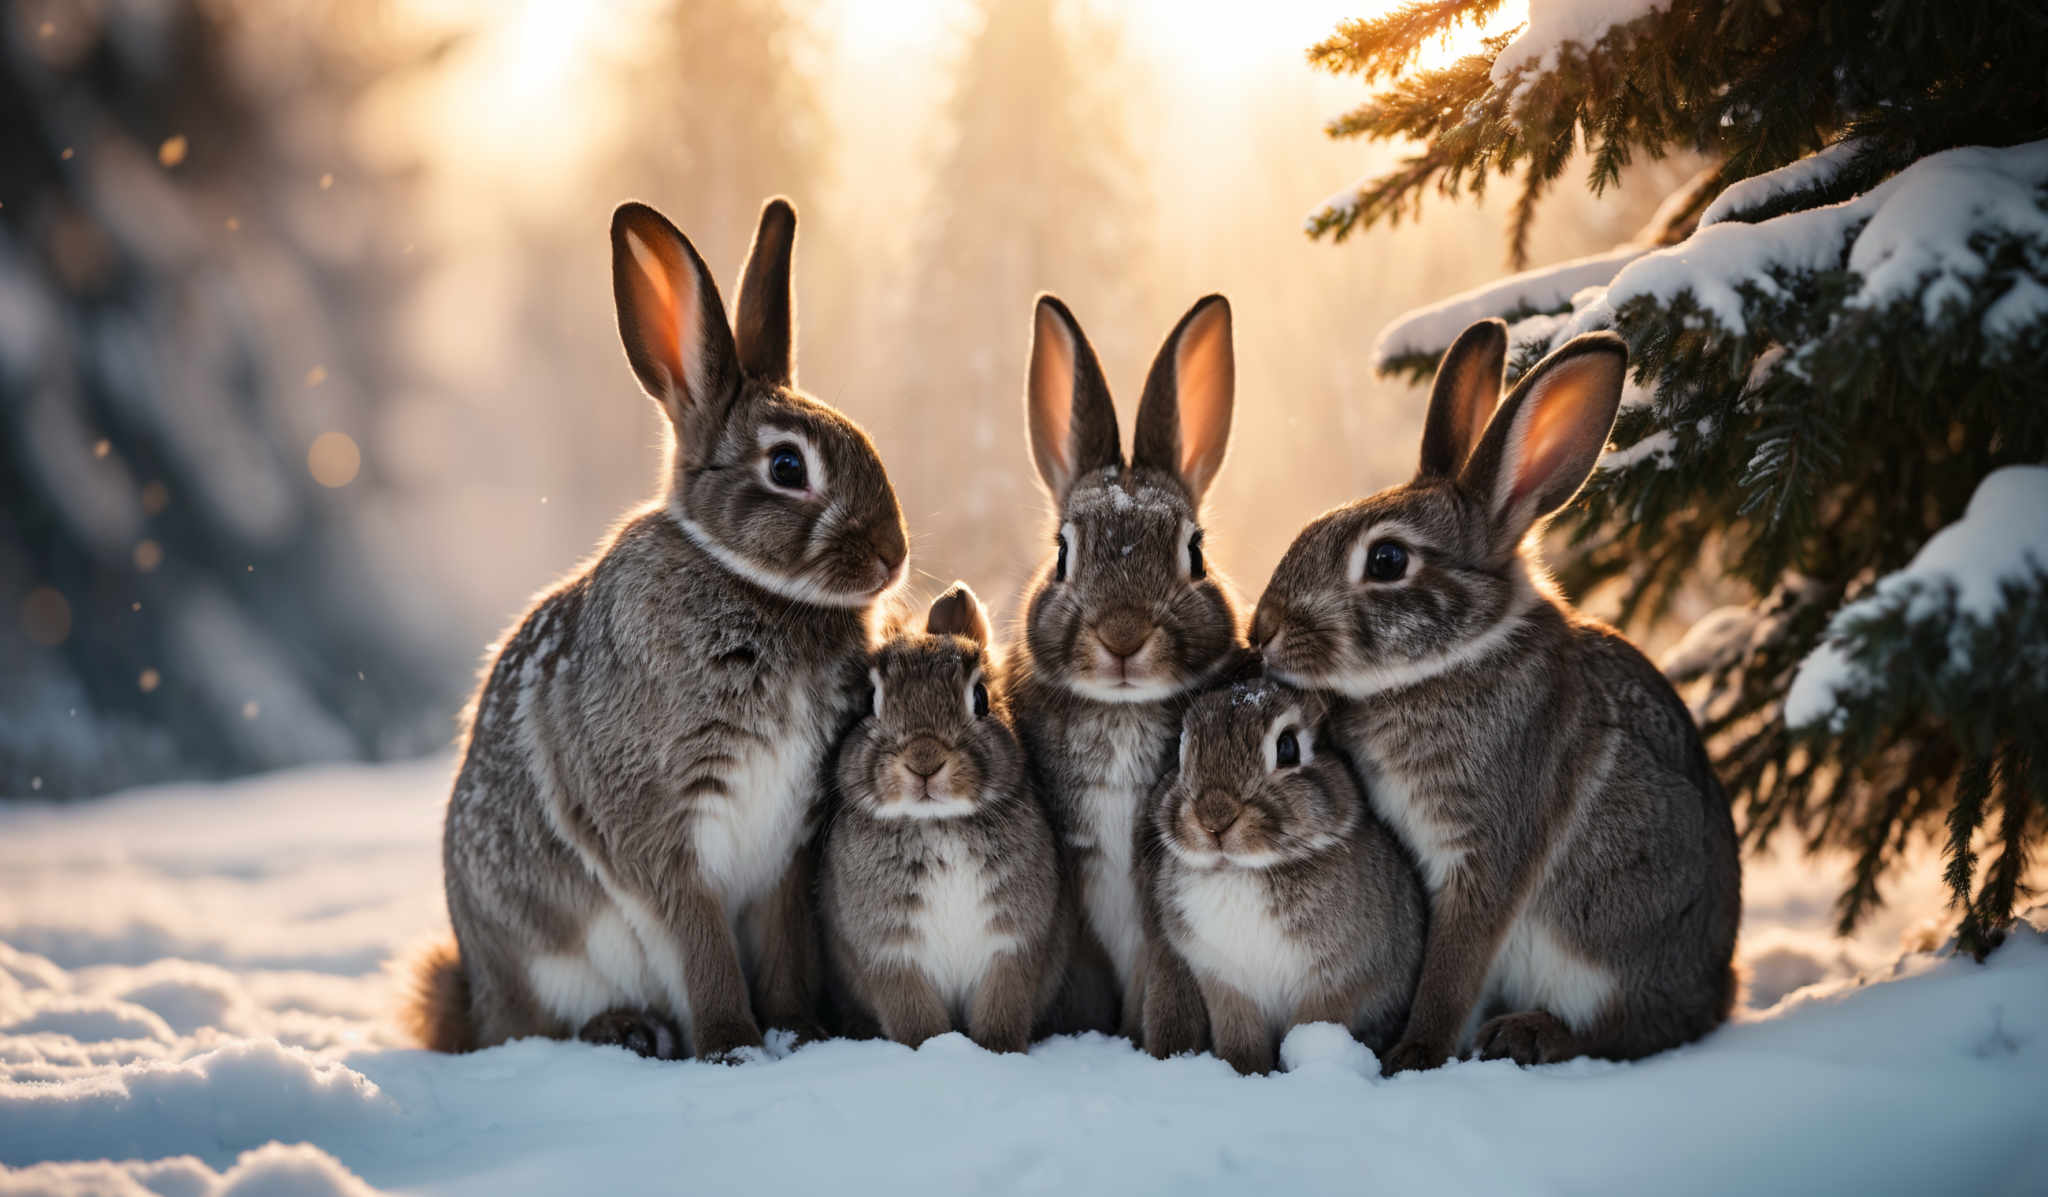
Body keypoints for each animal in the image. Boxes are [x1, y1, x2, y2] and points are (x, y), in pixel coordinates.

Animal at [407, 198, 905, 1065]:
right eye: (786, 467)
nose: (892, 554)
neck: (752, 587)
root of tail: (477, 991)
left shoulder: (784, 840)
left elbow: (781, 945)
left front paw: (798, 1034)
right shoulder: (659, 826)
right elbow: (698, 940)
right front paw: (733, 1046)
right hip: (543, 957)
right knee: (533, 1027)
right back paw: (625, 1029)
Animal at [819, 586, 1064, 1049]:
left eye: (980, 698)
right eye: (869, 701)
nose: (924, 760)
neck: (938, 823)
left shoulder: (1013, 943)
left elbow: (1002, 1010)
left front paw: (997, 1051)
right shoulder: (890, 953)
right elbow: (916, 1020)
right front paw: (933, 1051)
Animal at [1138, 676, 1425, 1082]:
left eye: (1287, 747)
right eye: (1181, 752)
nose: (1214, 817)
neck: (1244, 871)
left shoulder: (1335, 980)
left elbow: (1312, 1025)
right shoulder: (1224, 982)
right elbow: (1240, 1039)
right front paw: (1247, 1074)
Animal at [1253, 317, 1736, 1074]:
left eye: (1387, 560)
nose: (1261, 630)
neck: (1448, 664)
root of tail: (1718, 989)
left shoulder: (1486, 850)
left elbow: (1456, 961)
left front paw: (1413, 1054)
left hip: (1610, 938)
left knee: (1630, 1030)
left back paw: (1530, 1035)